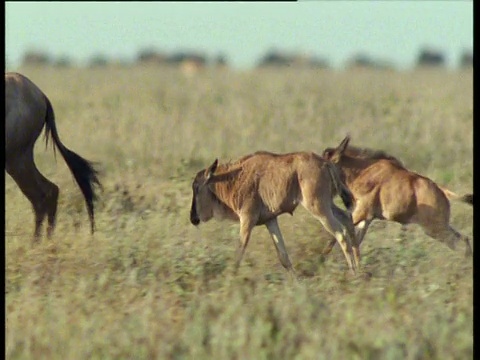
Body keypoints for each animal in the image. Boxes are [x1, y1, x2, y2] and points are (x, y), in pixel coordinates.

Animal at [189, 150, 358, 278]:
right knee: (348, 220)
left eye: (196, 188)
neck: (233, 178)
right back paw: (359, 267)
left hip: (319, 208)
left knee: (341, 233)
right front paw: (297, 282)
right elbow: (283, 256)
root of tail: (325, 163)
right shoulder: (270, 221)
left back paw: (353, 273)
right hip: (328, 205)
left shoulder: (247, 220)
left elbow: (238, 253)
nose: (193, 218)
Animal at [322, 136, 472, 260]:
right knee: (464, 239)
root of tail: (442, 190)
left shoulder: (361, 212)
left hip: (435, 229)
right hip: (441, 227)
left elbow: (336, 235)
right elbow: (355, 242)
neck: (362, 169)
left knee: (458, 242)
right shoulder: (367, 217)